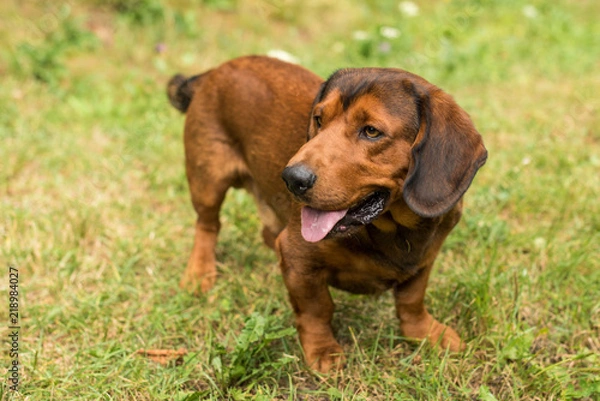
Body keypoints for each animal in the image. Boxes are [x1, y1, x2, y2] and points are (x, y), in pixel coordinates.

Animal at [166, 55, 486, 372]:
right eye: (319, 119)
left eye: (371, 131)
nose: (292, 179)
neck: (392, 228)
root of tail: (213, 72)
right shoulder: (299, 260)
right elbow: (316, 308)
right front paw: (323, 350)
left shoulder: (423, 262)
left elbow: (411, 301)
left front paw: (425, 333)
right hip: (208, 181)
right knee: (207, 226)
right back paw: (199, 273)